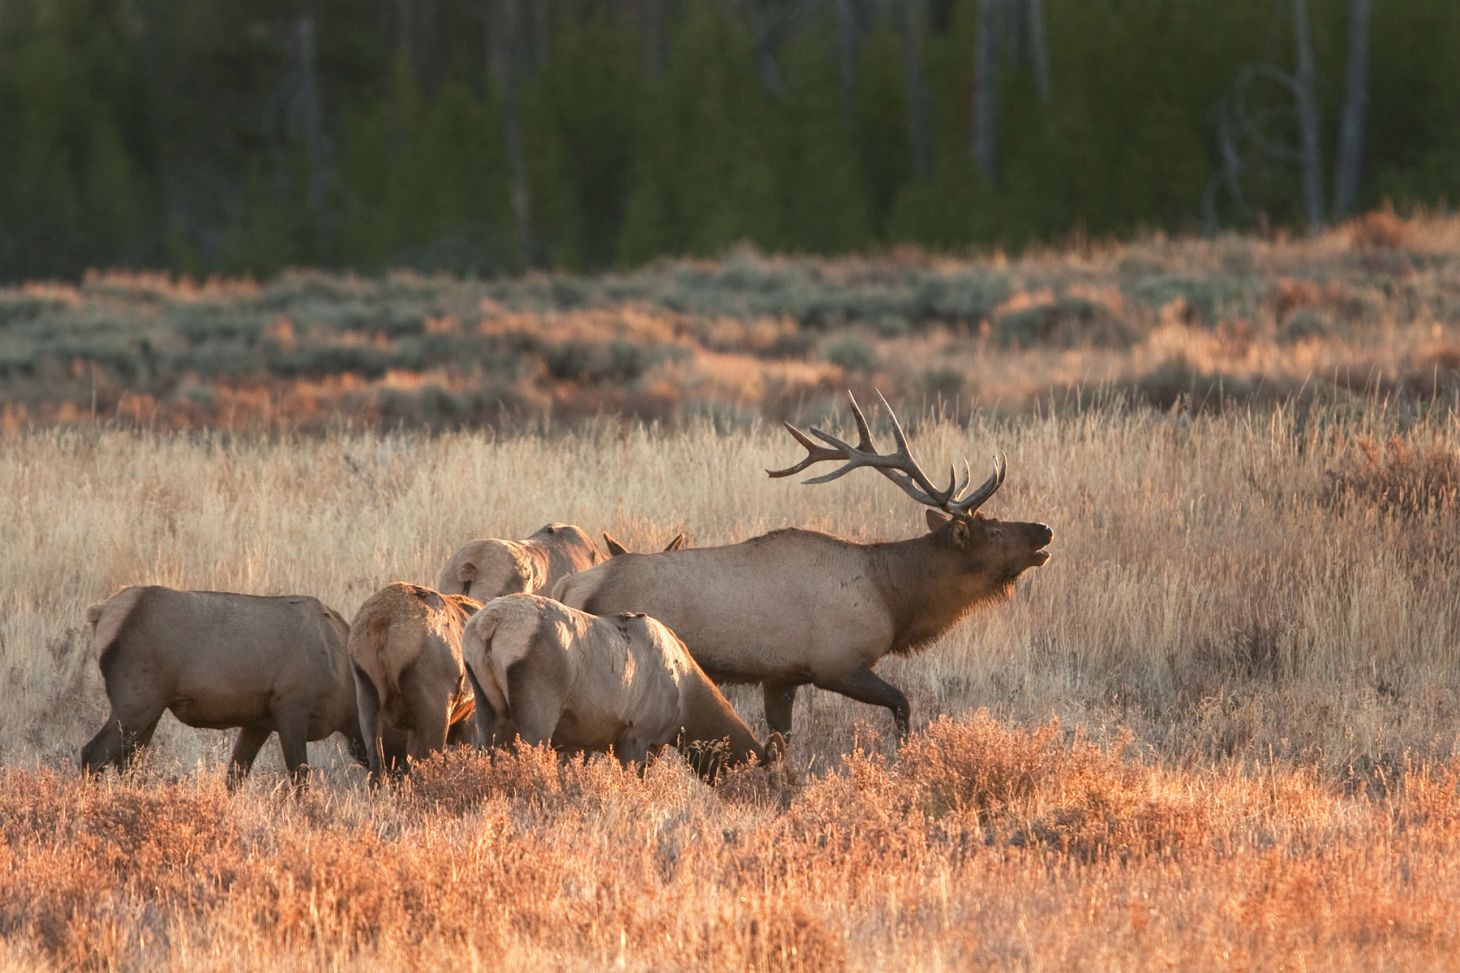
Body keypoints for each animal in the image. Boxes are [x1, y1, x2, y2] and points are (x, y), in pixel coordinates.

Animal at [555, 391, 1052, 741]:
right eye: (993, 530)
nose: (1044, 530)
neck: (891, 596)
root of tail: (568, 587)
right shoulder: (837, 662)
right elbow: (903, 706)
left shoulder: (782, 676)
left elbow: (780, 743)